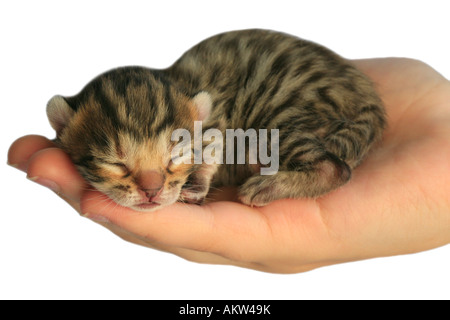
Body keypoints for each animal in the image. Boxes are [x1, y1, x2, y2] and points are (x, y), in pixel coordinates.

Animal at [48, 28, 386, 211]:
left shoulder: (219, 122)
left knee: (335, 168)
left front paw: (196, 181)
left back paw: (267, 186)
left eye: (175, 157)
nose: (151, 191)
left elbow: (212, 145)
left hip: (276, 115)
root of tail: (367, 100)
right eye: (115, 164)